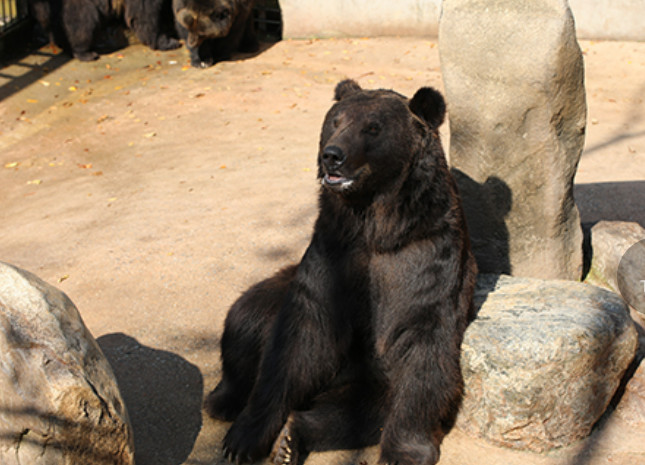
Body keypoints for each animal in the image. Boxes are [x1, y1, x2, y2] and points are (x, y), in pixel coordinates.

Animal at [206, 80, 478, 464]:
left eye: (373, 128)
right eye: (335, 121)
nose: (332, 155)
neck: (374, 222)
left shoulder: (423, 254)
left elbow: (423, 342)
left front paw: (404, 452)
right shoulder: (334, 248)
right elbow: (299, 337)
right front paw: (242, 440)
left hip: (365, 381)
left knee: (356, 414)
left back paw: (292, 436)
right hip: (275, 295)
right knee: (245, 320)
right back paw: (227, 401)